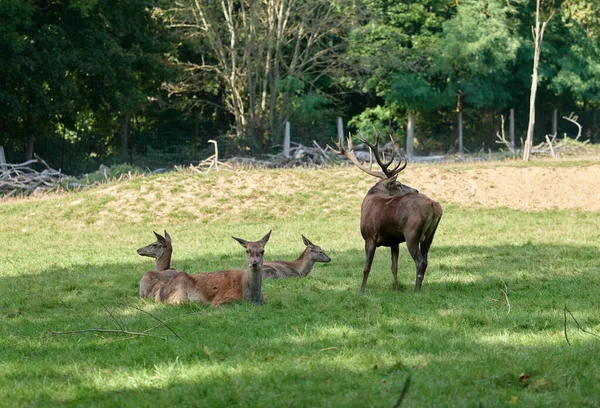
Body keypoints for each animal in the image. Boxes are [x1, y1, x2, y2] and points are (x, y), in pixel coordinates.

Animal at [328, 132, 440, 292]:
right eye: (398, 184)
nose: (416, 190)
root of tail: (434, 205)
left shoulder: (369, 237)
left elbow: (366, 268)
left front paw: (361, 290)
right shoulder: (394, 241)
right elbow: (394, 267)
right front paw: (397, 289)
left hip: (412, 232)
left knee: (420, 261)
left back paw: (416, 290)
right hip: (430, 234)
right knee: (425, 258)